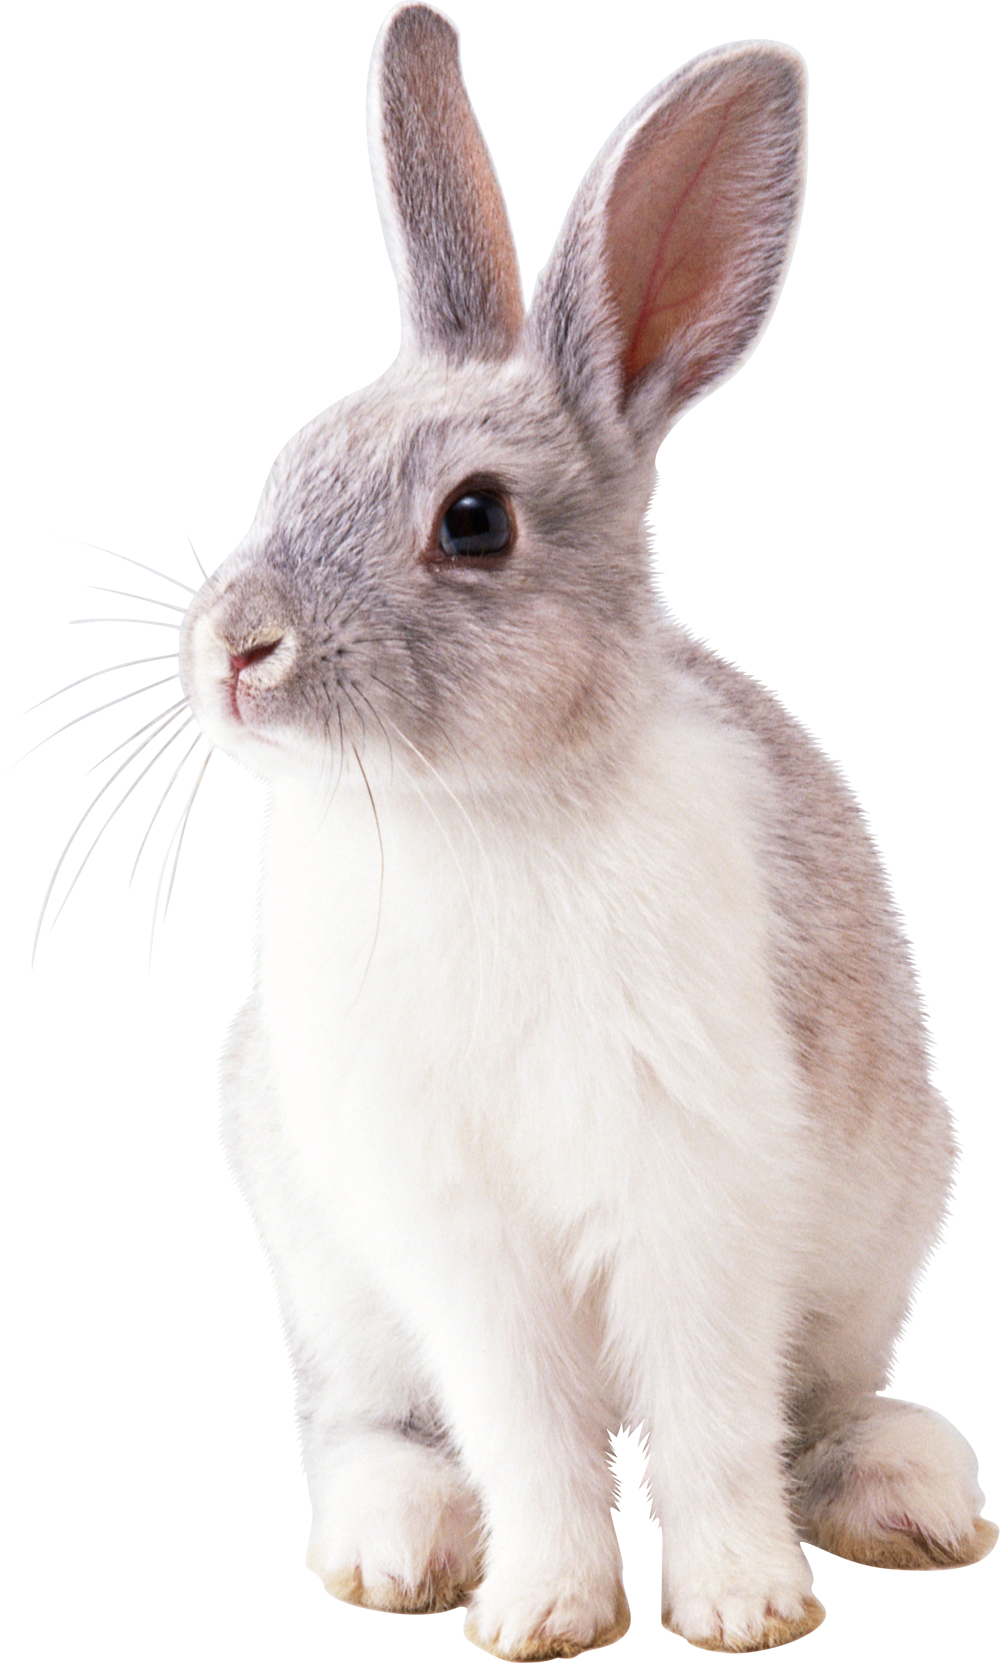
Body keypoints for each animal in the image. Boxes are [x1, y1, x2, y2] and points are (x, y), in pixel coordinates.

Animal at [186, 5, 995, 1655]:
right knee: (380, 1428)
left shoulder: (693, 1196)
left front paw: (746, 1601)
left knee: (829, 1403)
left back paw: (912, 1500)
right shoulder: (460, 1238)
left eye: (475, 519)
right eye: (293, 471)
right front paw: (538, 1608)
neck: (481, 809)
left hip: (868, 1258)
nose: (233, 649)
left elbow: (707, 1417)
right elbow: (527, 1429)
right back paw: (398, 1548)